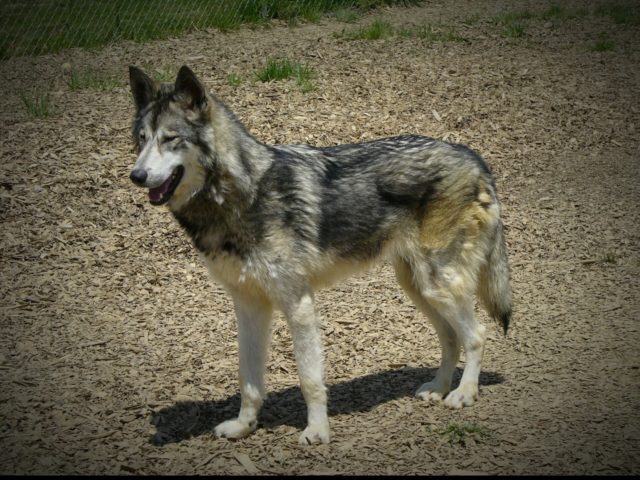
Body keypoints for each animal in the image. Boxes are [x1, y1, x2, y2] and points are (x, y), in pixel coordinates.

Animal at [128, 65, 512, 445]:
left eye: (170, 139)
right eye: (142, 140)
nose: (136, 175)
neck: (243, 195)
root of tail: (472, 156)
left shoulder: (298, 305)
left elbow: (309, 379)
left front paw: (317, 431)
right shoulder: (249, 306)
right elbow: (249, 379)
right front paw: (243, 426)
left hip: (438, 285)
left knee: (476, 335)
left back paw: (464, 394)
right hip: (418, 287)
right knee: (451, 337)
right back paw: (438, 388)